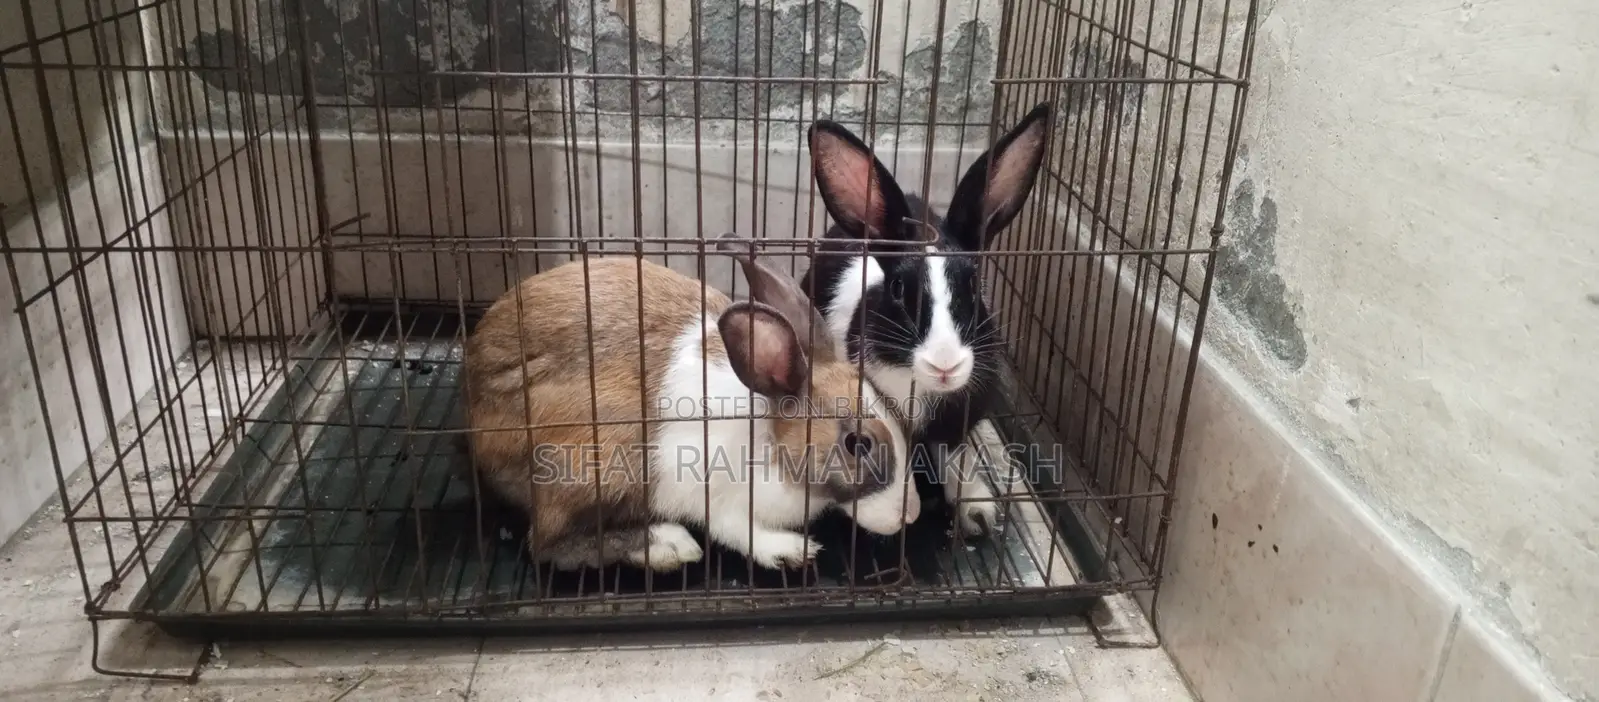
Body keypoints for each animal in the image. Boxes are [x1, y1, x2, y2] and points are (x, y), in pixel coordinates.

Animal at [462, 234, 921, 573]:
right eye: (858, 443)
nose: (912, 515)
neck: (770, 439)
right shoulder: (715, 496)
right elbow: (736, 532)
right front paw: (790, 550)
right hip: (588, 465)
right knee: (547, 544)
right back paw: (668, 546)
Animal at [795, 102, 1054, 538]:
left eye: (973, 284)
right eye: (898, 288)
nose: (945, 364)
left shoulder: (958, 421)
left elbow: (957, 458)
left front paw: (977, 514)